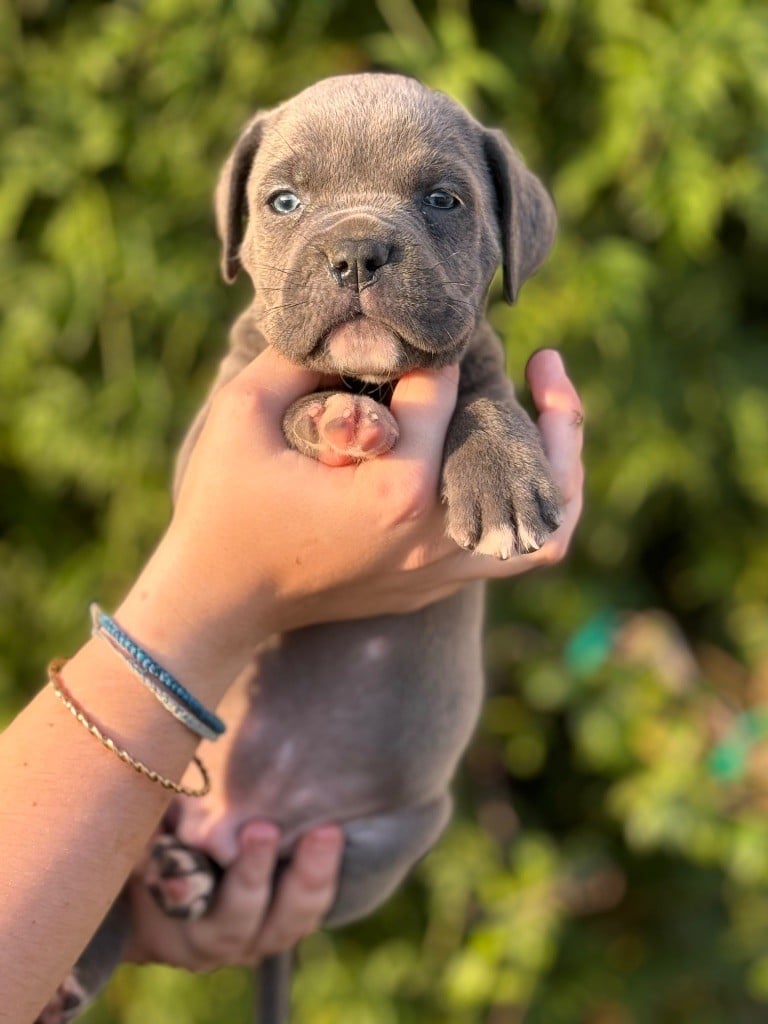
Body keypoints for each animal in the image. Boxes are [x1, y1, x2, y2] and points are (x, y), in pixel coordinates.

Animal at [39, 74, 561, 1024]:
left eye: (444, 201)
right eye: (284, 202)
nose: (356, 251)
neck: (368, 377)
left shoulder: (476, 352)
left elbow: (483, 390)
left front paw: (503, 475)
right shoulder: (210, 433)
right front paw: (328, 419)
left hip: (387, 841)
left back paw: (191, 880)